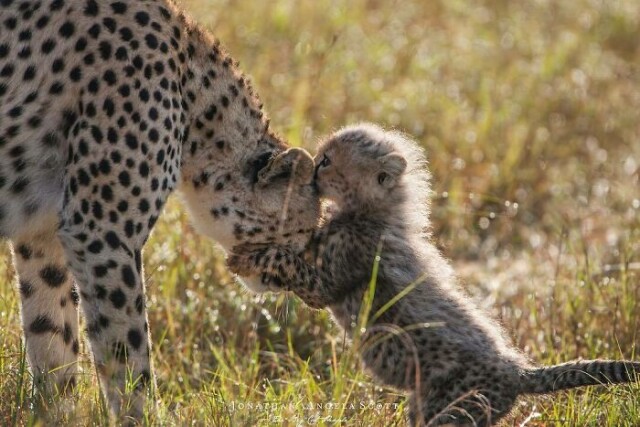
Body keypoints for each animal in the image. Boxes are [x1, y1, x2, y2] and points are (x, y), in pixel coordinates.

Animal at [0, 0, 318, 422]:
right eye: (306, 235)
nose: (303, 288)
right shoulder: (102, 235)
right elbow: (127, 351)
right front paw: (143, 417)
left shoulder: (43, 236)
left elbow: (52, 338)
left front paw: (55, 414)